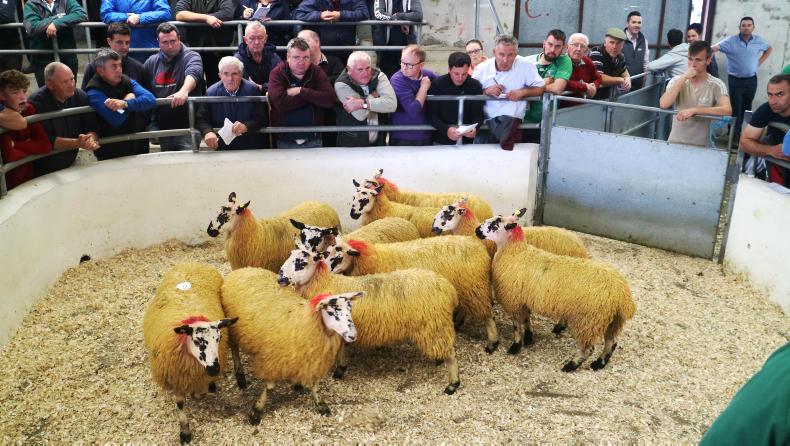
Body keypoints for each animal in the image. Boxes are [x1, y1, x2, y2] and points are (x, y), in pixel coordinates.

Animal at [142, 262, 238, 444]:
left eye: (219, 338)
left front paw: (199, 393)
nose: (214, 369)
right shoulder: (175, 377)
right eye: (197, 340)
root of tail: (192, 262)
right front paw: (185, 433)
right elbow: (180, 406)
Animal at [220, 267, 363, 423]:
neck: (307, 321)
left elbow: (314, 385)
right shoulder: (272, 360)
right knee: (234, 349)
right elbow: (269, 387)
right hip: (233, 328)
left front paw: (320, 404)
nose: (352, 335)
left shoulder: (311, 359)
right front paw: (256, 411)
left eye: (350, 309)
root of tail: (243, 269)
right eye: (331, 312)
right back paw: (240, 375)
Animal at [277, 250, 461, 395]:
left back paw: (452, 384)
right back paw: (438, 361)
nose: (280, 278)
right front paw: (341, 368)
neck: (323, 283)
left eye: (302, 263)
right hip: (433, 327)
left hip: (435, 324)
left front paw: (338, 370)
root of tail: (448, 288)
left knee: (451, 354)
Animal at [324, 235, 499, 353]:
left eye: (339, 257)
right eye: (326, 253)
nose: (324, 270)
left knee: (487, 315)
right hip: (466, 288)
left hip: (474, 286)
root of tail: (480, 248)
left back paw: (492, 342)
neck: (373, 259)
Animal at [476, 209, 636, 372]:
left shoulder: (513, 300)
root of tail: (623, 296)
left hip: (588, 320)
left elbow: (517, 327)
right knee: (611, 342)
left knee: (588, 348)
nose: (477, 231)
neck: (514, 252)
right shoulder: (524, 299)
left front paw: (515, 346)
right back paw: (599, 364)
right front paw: (529, 338)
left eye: (494, 225)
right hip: (612, 320)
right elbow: (526, 319)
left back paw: (571, 365)